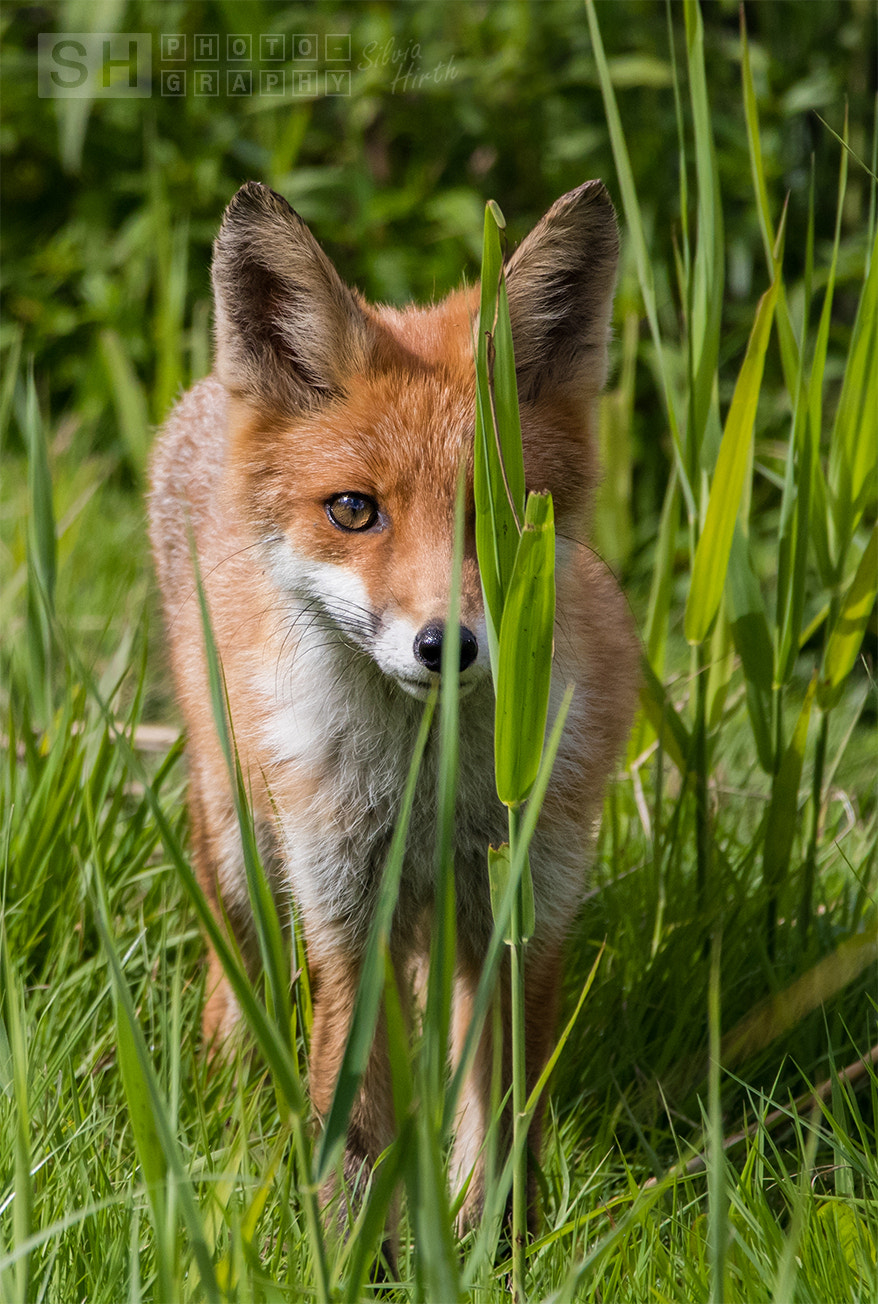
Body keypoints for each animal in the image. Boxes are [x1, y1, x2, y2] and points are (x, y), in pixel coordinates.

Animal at [147, 178, 634, 1236]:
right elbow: (354, 1123)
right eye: (354, 510)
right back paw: (224, 1083)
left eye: (500, 515)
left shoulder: (525, 906)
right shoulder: (346, 916)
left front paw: (497, 1246)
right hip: (240, 842)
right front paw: (344, 1250)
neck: (430, 789)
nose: (444, 646)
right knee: (233, 969)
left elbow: (499, 1122)